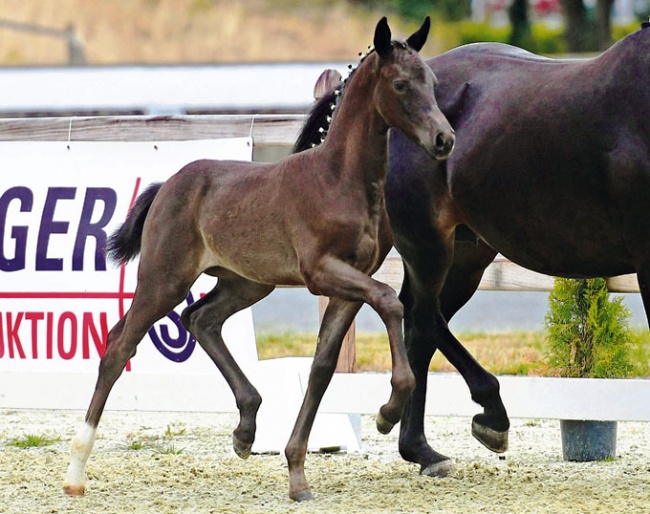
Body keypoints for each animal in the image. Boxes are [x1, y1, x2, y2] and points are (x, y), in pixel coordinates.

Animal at [296, 25, 648, 476]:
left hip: (466, 253)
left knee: (422, 319)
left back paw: (430, 445)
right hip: (427, 241)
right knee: (420, 317)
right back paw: (460, 427)